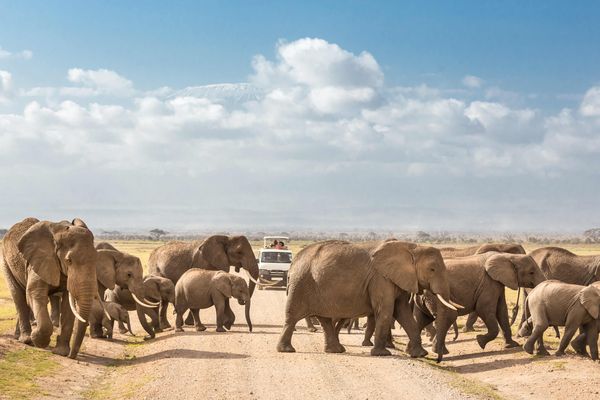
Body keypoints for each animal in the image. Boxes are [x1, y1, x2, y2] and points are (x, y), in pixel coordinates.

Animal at [0, 219, 98, 360]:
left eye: (97, 259)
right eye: (69, 261)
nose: (71, 356)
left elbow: (68, 304)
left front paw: (61, 352)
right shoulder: (39, 260)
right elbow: (35, 293)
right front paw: (37, 339)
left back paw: (19, 337)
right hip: (5, 262)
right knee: (19, 296)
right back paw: (26, 339)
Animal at [276, 239, 460, 360]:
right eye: (432, 269)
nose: (438, 359)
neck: (411, 247)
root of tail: (293, 262)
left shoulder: (397, 280)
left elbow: (403, 313)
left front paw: (420, 354)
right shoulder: (381, 279)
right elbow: (386, 312)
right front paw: (382, 354)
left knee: (325, 319)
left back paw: (336, 350)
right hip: (301, 283)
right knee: (292, 316)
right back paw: (286, 350)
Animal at [414, 253, 548, 354]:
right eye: (531, 272)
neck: (508, 256)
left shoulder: (497, 283)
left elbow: (502, 311)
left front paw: (512, 345)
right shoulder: (489, 283)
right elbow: (484, 309)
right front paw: (480, 341)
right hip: (434, 294)